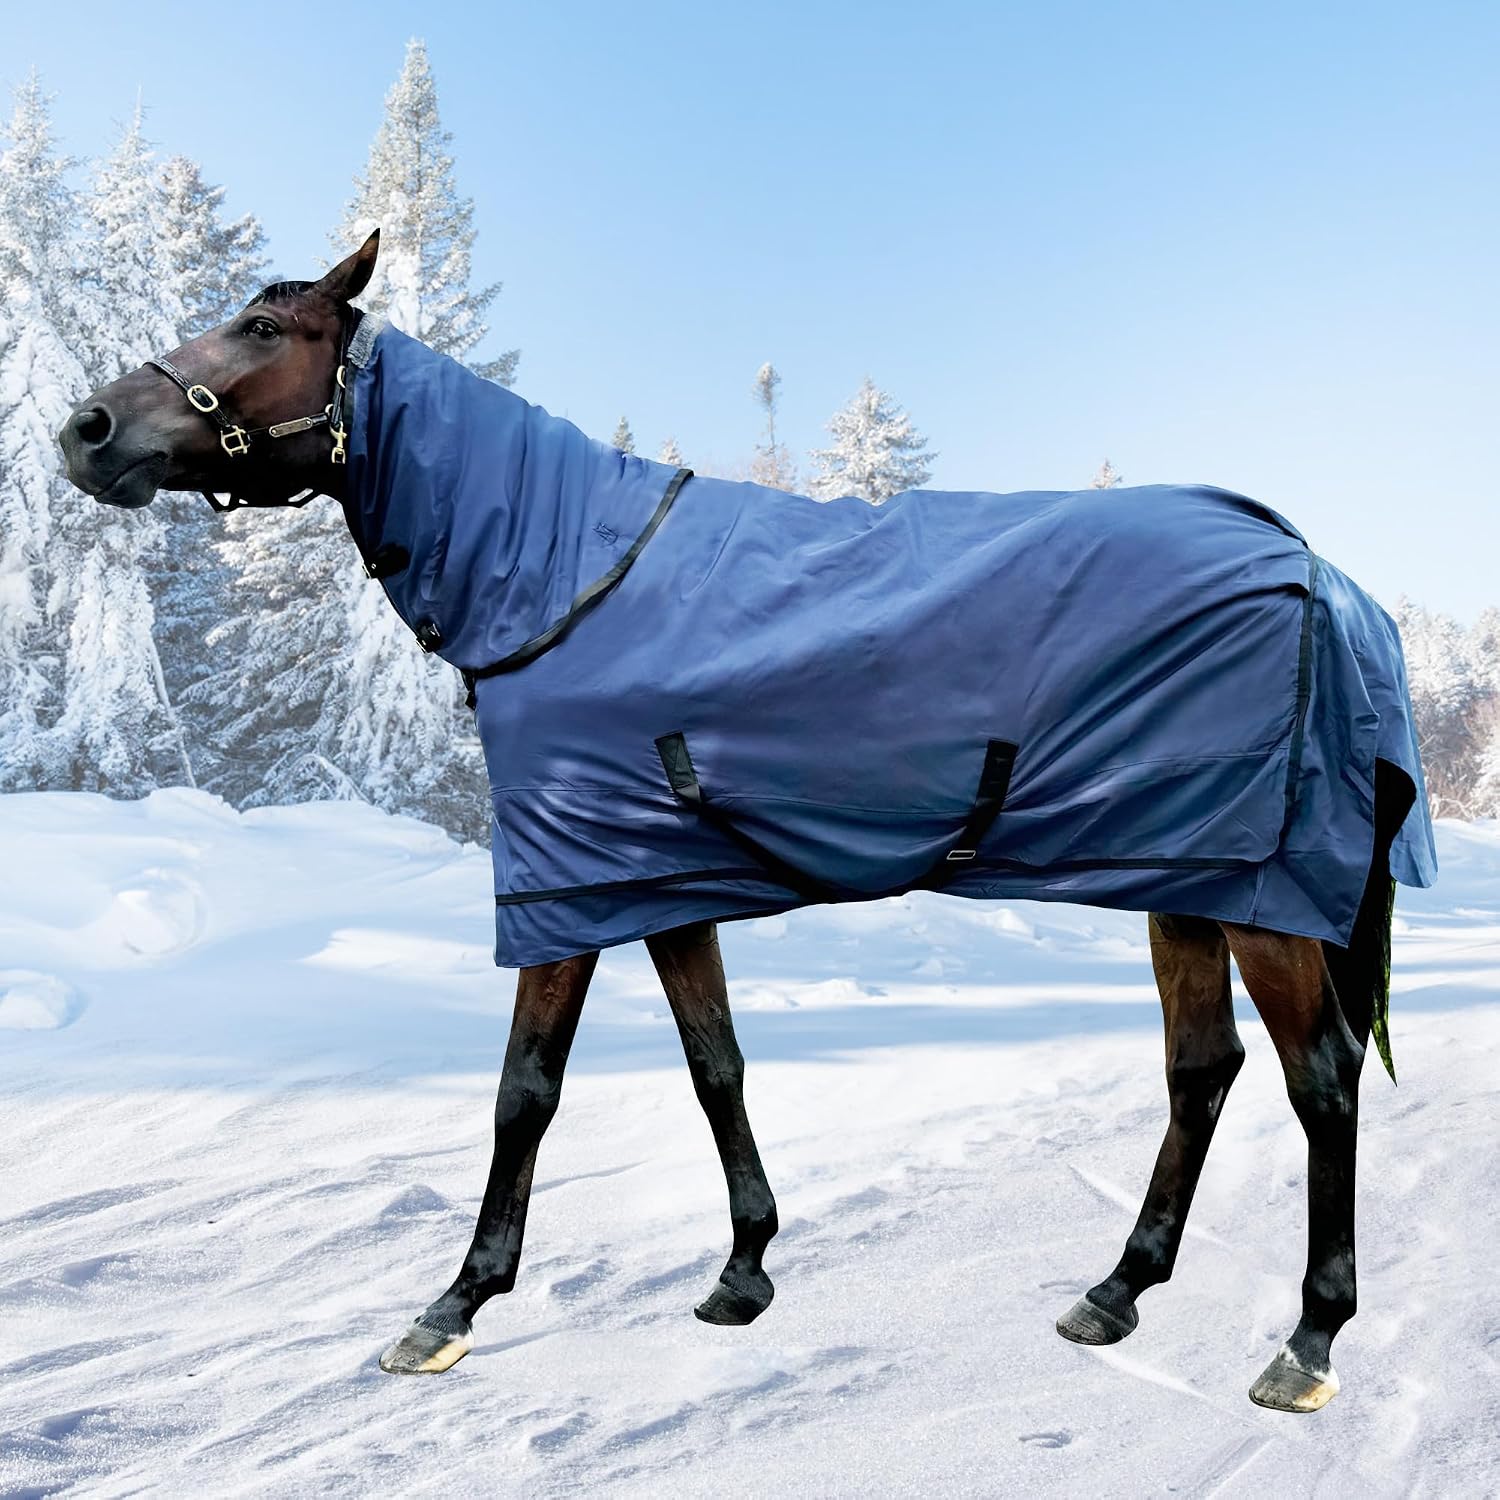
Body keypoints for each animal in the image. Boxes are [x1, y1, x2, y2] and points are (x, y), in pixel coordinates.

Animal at [58, 230, 1435, 1413]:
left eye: (261, 326)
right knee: (1202, 1069)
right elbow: (712, 1062)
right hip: (1187, 873)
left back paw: (1308, 1340)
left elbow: (524, 1090)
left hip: (1261, 895)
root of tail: (1322, 573)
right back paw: (1116, 1290)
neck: (566, 575)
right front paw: (744, 1270)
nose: (85, 430)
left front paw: (455, 1304)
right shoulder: (655, 880)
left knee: (1321, 1082)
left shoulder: (566, 888)